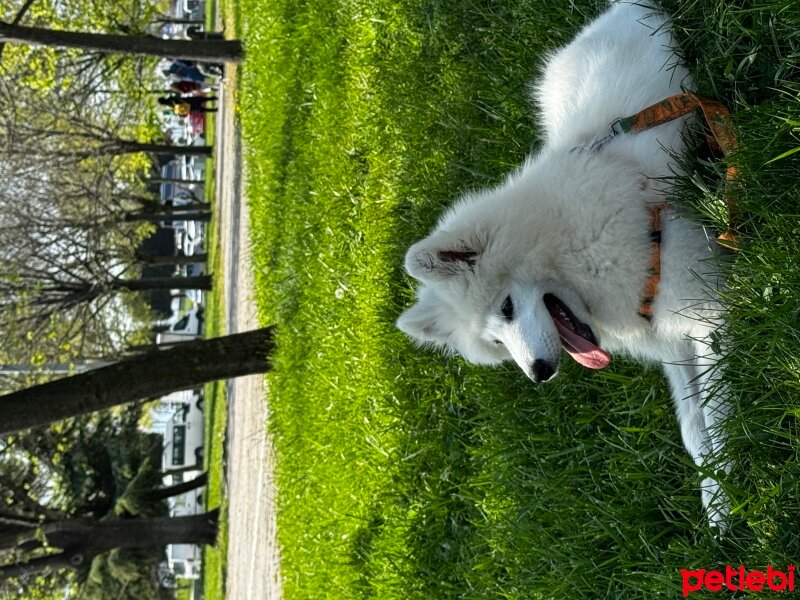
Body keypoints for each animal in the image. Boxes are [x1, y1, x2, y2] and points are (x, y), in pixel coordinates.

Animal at [398, 1, 732, 524]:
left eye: (507, 308)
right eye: (496, 343)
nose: (538, 373)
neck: (572, 246)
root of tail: (617, 9)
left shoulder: (702, 309)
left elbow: (715, 415)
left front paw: (734, 494)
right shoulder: (667, 334)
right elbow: (693, 427)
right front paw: (717, 499)